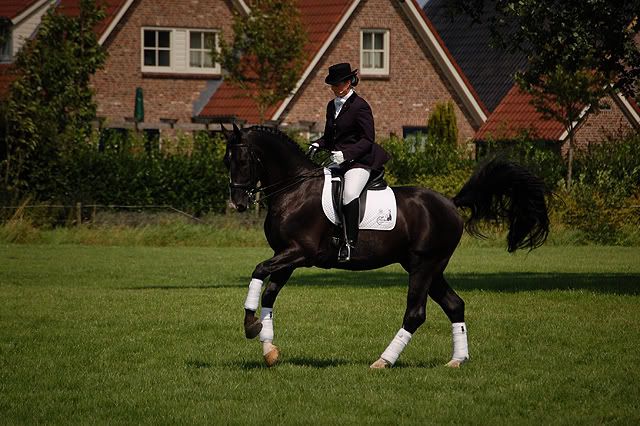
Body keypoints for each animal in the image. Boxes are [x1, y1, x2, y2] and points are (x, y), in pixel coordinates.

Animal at [222, 122, 548, 366]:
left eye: (243, 161)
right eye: (227, 162)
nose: (238, 203)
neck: (294, 188)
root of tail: (451, 203)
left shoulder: (300, 253)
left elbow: (258, 271)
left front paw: (250, 325)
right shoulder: (286, 255)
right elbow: (269, 294)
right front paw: (268, 348)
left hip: (424, 266)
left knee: (415, 314)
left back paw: (384, 361)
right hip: (430, 268)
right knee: (455, 305)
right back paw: (457, 360)